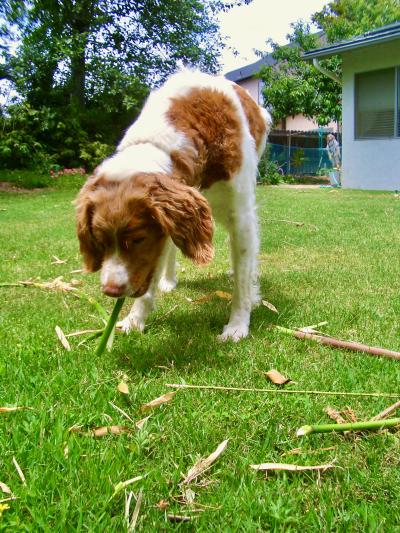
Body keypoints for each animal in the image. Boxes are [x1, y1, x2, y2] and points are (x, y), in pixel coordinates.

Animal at [75, 69, 270, 340]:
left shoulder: (240, 215)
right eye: (100, 241)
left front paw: (238, 325)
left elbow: (242, 275)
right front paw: (135, 319)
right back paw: (168, 281)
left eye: (137, 239)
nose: (111, 291)